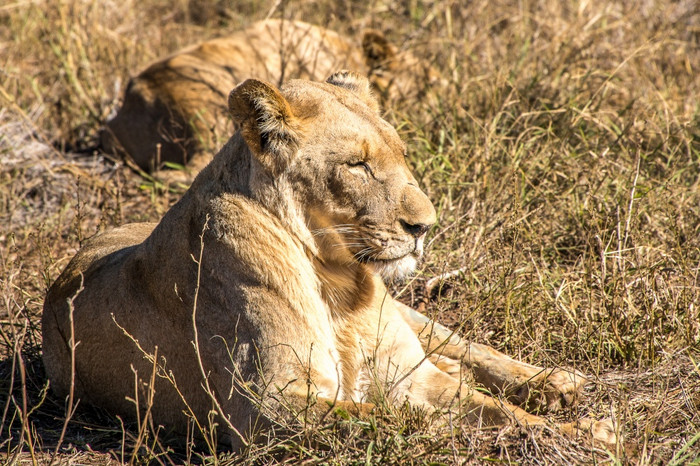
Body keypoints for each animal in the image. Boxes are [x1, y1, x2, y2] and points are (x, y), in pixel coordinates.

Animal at [42, 72, 612, 448]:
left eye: (403, 155)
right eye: (357, 165)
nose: (425, 226)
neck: (339, 280)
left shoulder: (407, 374)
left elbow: (502, 412)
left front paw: (585, 433)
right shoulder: (265, 406)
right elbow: (402, 419)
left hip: (415, 320)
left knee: (464, 346)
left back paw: (560, 384)